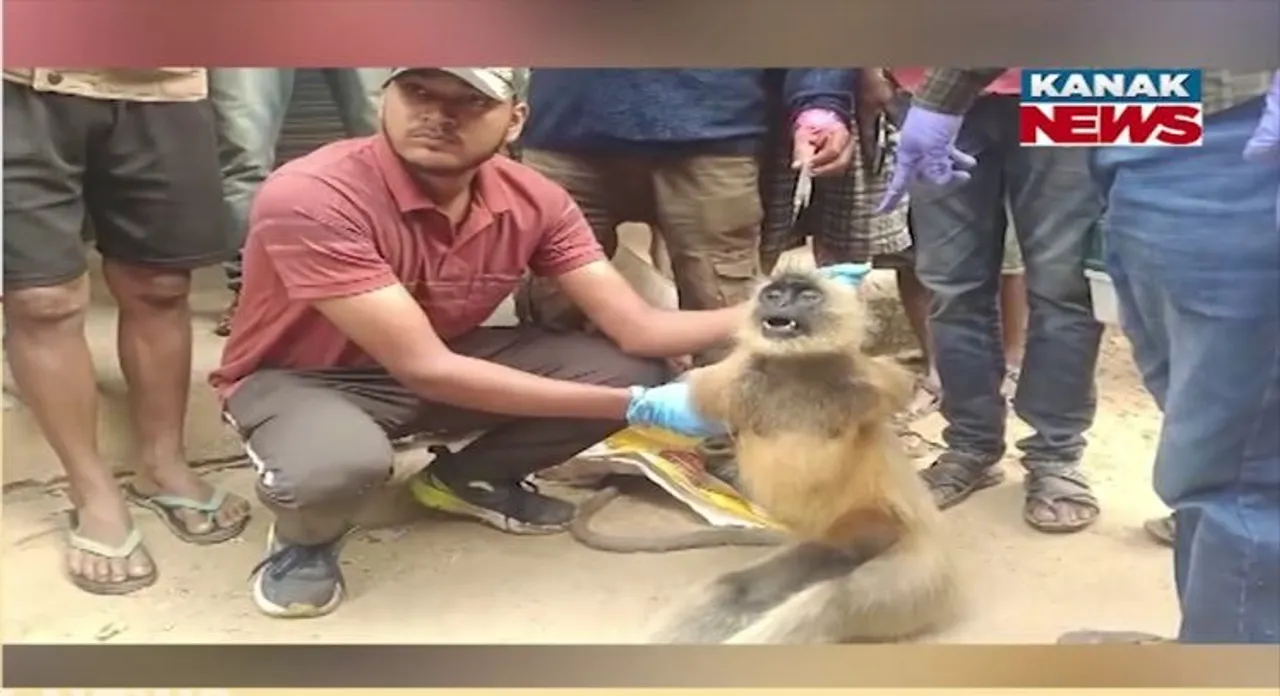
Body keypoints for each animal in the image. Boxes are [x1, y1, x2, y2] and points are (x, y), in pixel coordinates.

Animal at [646, 268, 962, 644]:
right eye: (774, 294)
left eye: (807, 296)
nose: (781, 303)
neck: (795, 366)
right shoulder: (727, 381)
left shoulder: (871, 379)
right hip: (838, 542)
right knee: (734, 589)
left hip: (918, 569)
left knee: (831, 601)